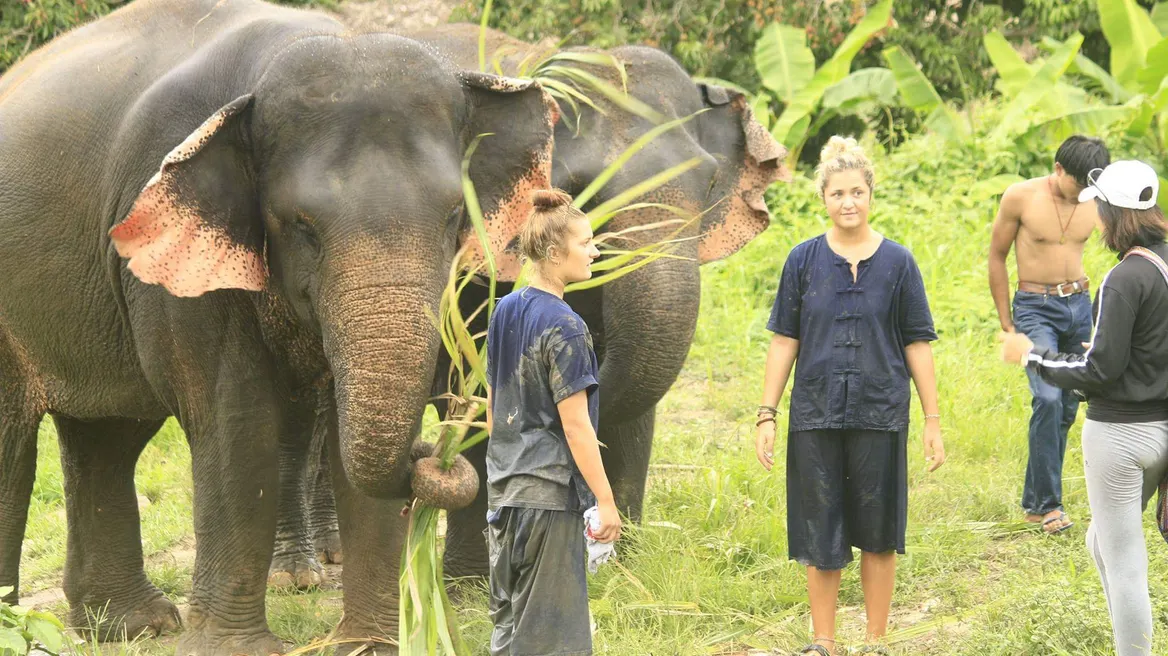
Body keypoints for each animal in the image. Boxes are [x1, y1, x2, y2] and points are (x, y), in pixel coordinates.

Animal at [0, 1, 558, 654]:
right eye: (301, 225)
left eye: (453, 215)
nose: (433, 453)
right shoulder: (174, 241)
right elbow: (237, 421)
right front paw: (235, 649)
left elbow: (340, 429)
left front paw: (370, 646)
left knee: (108, 436)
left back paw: (135, 627)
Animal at [267, 22, 791, 586]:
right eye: (579, 189)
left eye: (711, 181)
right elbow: (472, 385)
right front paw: (469, 583)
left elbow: (639, 399)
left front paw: (624, 562)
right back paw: (301, 570)